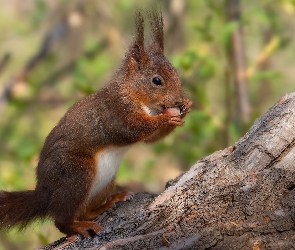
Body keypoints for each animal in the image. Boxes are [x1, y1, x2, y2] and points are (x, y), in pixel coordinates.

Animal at [0, 10, 192, 238]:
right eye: (156, 81)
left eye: (176, 73)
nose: (178, 100)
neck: (134, 95)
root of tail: (44, 194)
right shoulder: (116, 112)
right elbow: (132, 130)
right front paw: (167, 117)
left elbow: (150, 140)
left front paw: (185, 108)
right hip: (76, 174)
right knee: (61, 220)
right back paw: (79, 226)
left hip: (105, 181)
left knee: (85, 211)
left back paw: (109, 202)